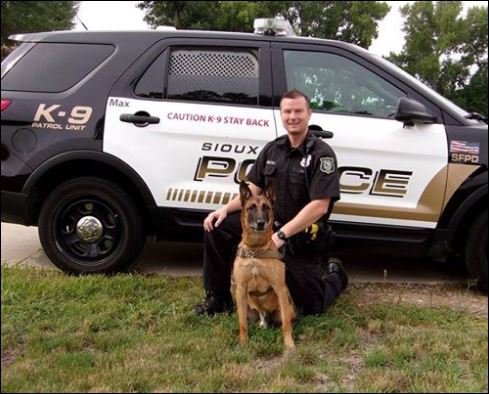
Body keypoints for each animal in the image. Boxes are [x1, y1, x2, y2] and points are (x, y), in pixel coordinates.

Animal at [232, 180, 296, 350]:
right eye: (251, 208)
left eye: (266, 207)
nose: (261, 223)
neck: (256, 250)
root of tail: (263, 317)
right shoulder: (240, 289)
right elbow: (242, 324)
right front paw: (243, 343)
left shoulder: (279, 287)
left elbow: (286, 324)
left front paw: (289, 344)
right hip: (242, 306)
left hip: (288, 308)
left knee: (287, 320)